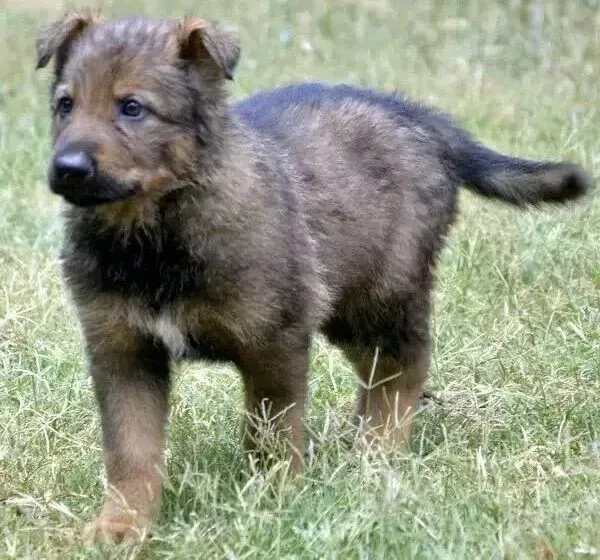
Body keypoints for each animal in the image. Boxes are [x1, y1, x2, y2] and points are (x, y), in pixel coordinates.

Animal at [36, 9, 592, 544]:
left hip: (382, 291)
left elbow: (272, 433)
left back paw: (379, 453)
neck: (153, 232)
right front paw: (122, 526)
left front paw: (273, 504)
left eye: (132, 108)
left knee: (404, 365)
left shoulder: (273, 341)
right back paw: (360, 439)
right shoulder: (123, 350)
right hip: (343, 305)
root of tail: (421, 118)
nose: (67, 168)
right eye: (65, 105)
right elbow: (130, 449)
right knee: (378, 369)